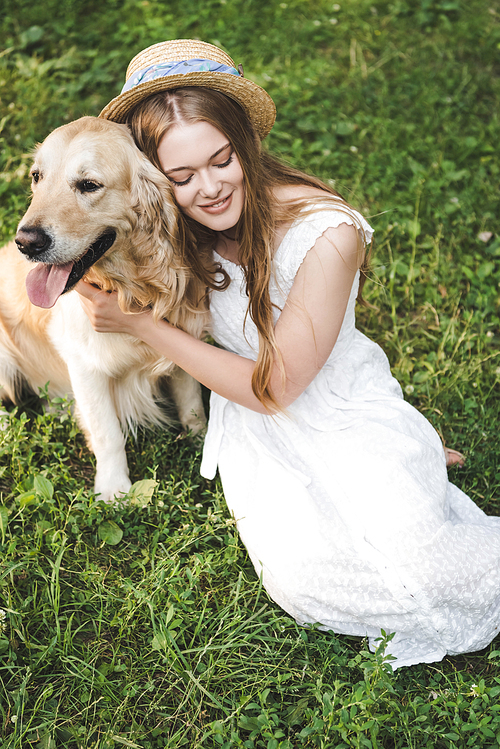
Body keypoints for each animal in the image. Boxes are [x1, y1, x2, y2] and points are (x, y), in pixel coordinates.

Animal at [0, 117, 207, 502]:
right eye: (37, 176)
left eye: (89, 185)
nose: (26, 242)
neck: (131, 290)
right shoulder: (85, 363)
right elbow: (107, 431)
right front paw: (114, 488)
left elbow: (192, 402)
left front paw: (201, 441)